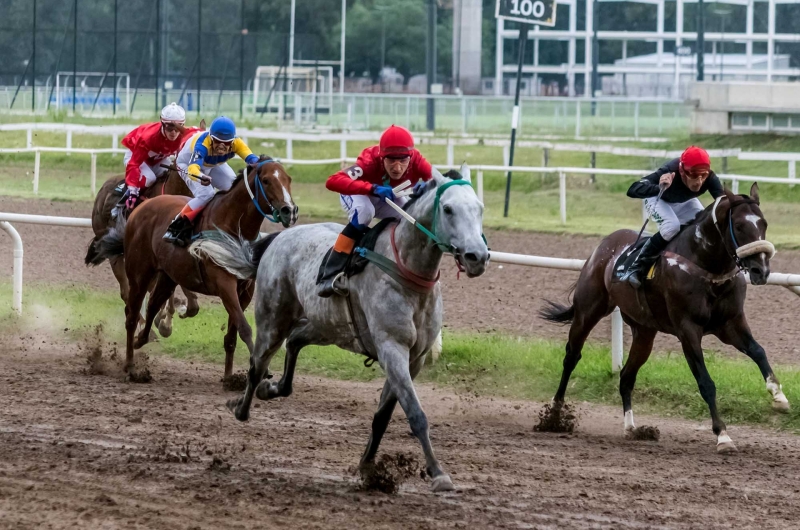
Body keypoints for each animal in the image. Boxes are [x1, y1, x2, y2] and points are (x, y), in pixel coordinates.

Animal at [90, 157, 296, 380]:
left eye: (288, 179)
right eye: (266, 181)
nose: (290, 211)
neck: (231, 226)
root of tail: (141, 207)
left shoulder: (245, 290)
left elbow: (232, 336)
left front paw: (229, 378)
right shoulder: (224, 284)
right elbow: (244, 327)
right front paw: (260, 369)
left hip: (167, 275)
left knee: (152, 304)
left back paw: (144, 338)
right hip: (139, 272)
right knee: (131, 312)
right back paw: (130, 364)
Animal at [195, 164, 490, 486]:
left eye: (480, 208)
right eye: (447, 209)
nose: (477, 256)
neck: (407, 272)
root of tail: (279, 238)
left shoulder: (415, 358)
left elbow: (383, 416)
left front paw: (368, 466)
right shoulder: (392, 348)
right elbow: (415, 413)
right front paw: (437, 473)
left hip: (327, 325)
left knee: (295, 341)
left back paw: (272, 389)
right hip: (273, 319)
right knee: (257, 365)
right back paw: (241, 406)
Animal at [540, 184, 784, 452]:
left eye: (764, 223)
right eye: (739, 226)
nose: (761, 270)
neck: (707, 268)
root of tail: (605, 244)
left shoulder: (730, 323)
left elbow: (758, 351)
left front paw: (779, 396)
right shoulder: (688, 330)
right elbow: (706, 383)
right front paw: (723, 435)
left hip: (644, 332)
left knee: (626, 377)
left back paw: (632, 428)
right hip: (588, 311)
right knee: (572, 356)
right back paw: (555, 414)